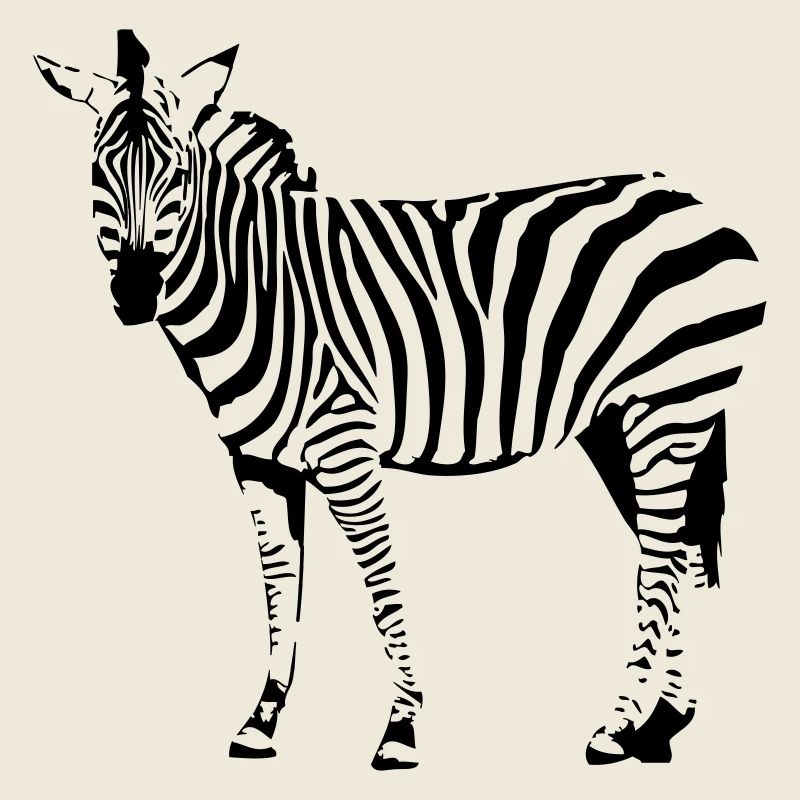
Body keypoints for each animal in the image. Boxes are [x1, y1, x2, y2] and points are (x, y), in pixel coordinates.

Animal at [35, 30, 765, 769]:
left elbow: (381, 586)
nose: (134, 294)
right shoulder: (258, 461)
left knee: (662, 561)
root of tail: (690, 197)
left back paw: (617, 726)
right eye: (99, 171)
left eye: (177, 173)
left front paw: (401, 726)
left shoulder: (344, 447)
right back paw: (661, 720)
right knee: (675, 549)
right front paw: (263, 720)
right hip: (620, 422)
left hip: (670, 406)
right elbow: (281, 586)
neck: (259, 286)